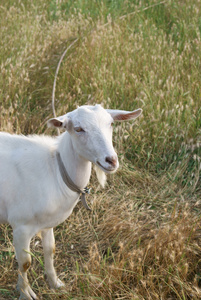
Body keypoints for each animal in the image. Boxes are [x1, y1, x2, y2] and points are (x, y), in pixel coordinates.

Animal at [0, 104, 141, 298]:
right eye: (79, 129)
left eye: (111, 123)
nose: (111, 160)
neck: (56, 170)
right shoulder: (21, 225)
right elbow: (25, 262)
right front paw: (25, 293)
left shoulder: (46, 224)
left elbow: (50, 250)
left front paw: (56, 284)